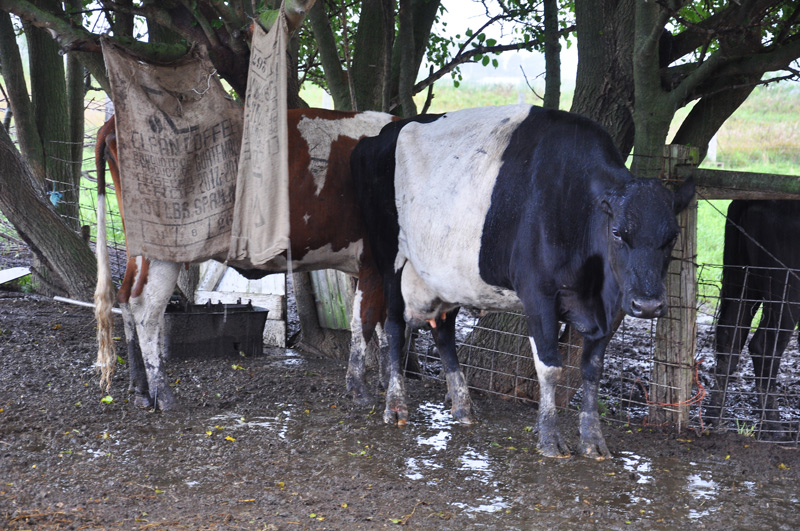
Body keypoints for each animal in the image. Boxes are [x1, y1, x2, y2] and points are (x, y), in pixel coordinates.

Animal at [94, 109, 396, 410]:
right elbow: (366, 321)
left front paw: (385, 381)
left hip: (138, 245)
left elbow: (383, 322)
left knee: (125, 297)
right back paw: (163, 394)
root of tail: (112, 122)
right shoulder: (374, 261)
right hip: (165, 247)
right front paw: (360, 389)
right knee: (146, 309)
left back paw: (140, 389)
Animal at [351, 104, 694, 459]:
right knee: (394, 326)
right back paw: (395, 405)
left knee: (444, 332)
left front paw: (593, 440)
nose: (648, 304)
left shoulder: (610, 304)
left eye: (672, 237)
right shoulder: (537, 293)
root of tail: (379, 135)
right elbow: (550, 366)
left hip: (447, 277)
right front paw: (549, 437)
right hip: (389, 256)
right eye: (617, 233)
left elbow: (592, 368)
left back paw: (463, 407)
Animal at [707, 200, 800, 438]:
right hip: (786, 291)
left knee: (730, 335)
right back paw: (775, 428)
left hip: (744, 280)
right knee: (764, 345)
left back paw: (714, 417)